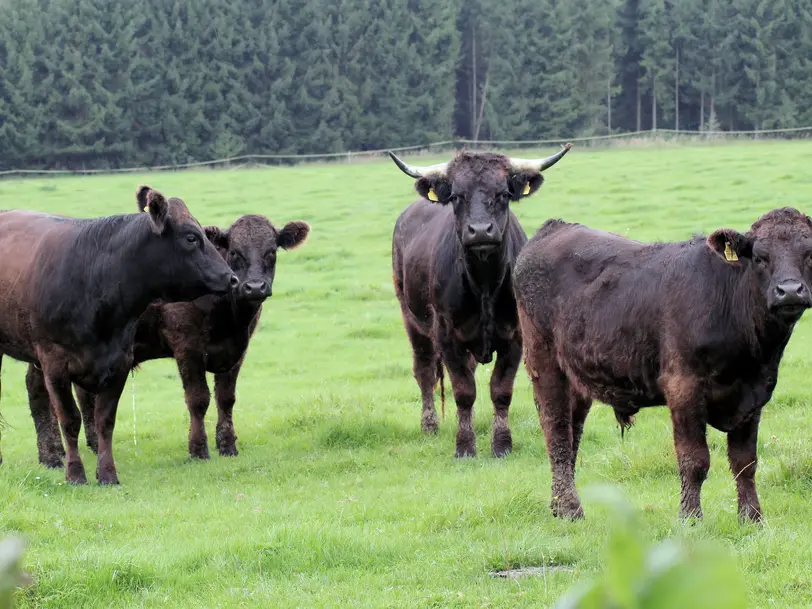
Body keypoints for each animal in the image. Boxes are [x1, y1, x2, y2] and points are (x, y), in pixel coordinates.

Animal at [0, 186, 238, 484]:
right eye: (192, 237)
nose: (232, 278)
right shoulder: (54, 362)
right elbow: (70, 419)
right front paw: (75, 473)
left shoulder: (119, 361)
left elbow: (104, 420)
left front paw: (107, 474)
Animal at [388, 144, 572, 456]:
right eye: (457, 196)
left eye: (502, 193)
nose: (481, 231)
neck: (485, 283)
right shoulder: (446, 335)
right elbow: (463, 391)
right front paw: (465, 446)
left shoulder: (515, 337)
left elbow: (500, 390)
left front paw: (502, 444)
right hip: (411, 319)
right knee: (424, 370)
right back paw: (429, 425)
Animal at [512, 208, 812, 516]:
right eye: (760, 257)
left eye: (810, 253)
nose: (789, 291)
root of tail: (555, 227)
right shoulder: (683, 386)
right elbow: (695, 461)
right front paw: (690, 518)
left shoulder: (753, 395)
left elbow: (745, 462)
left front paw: (752, 518)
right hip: (544, 360)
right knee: (557, 431)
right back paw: (570, 509)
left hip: (578, 373)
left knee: (573, 432)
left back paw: (559, 505)